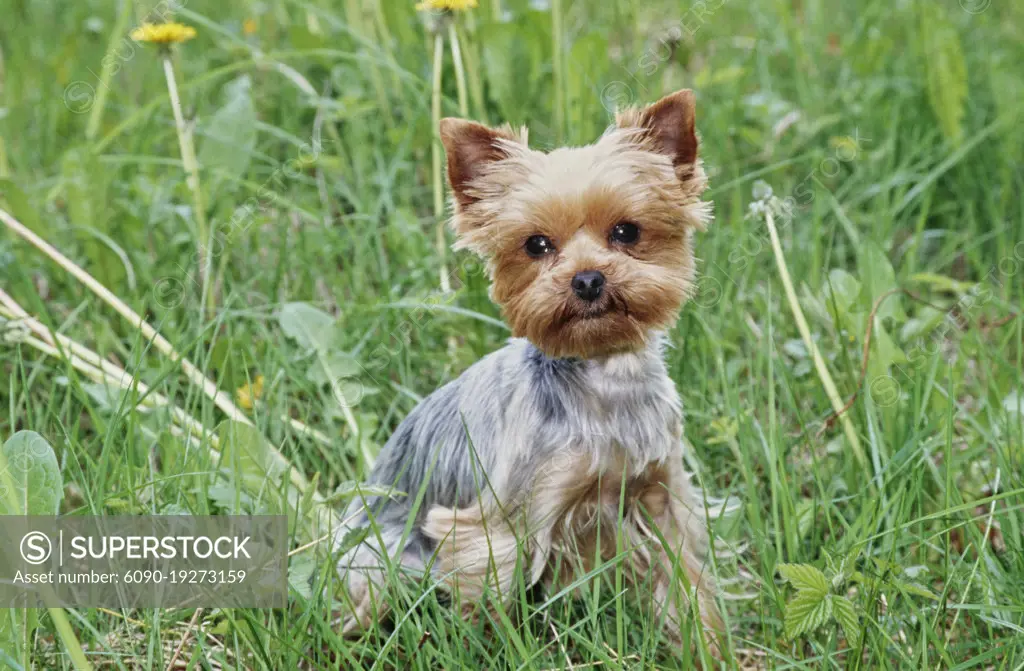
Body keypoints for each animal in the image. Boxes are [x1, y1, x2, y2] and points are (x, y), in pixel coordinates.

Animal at [335, 89, 720, 647]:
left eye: (626, 231)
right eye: (536, 244)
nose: (587, 280)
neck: (602, 377)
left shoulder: (659, 494)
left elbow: (685, 577)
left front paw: (707, 645)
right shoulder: (500, 522)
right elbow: (491, 597)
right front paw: (498, 649)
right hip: (378, 557)